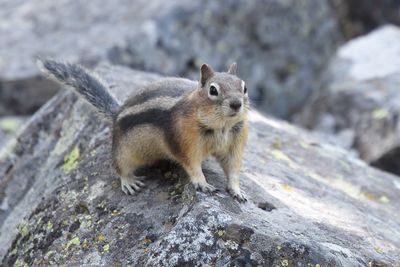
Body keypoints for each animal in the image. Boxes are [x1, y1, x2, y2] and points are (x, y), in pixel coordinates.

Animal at [38, 59, 250, 202]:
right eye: (213, 90)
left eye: (244, 87)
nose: (236, 104)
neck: (221, 126)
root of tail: (117, 112)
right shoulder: (183, 141)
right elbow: (192, 165)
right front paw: (202, 183)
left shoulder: (235, 143)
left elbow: (233, 169)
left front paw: (237, 190)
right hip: (124, 151)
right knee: (119, 166)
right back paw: (128, 181)